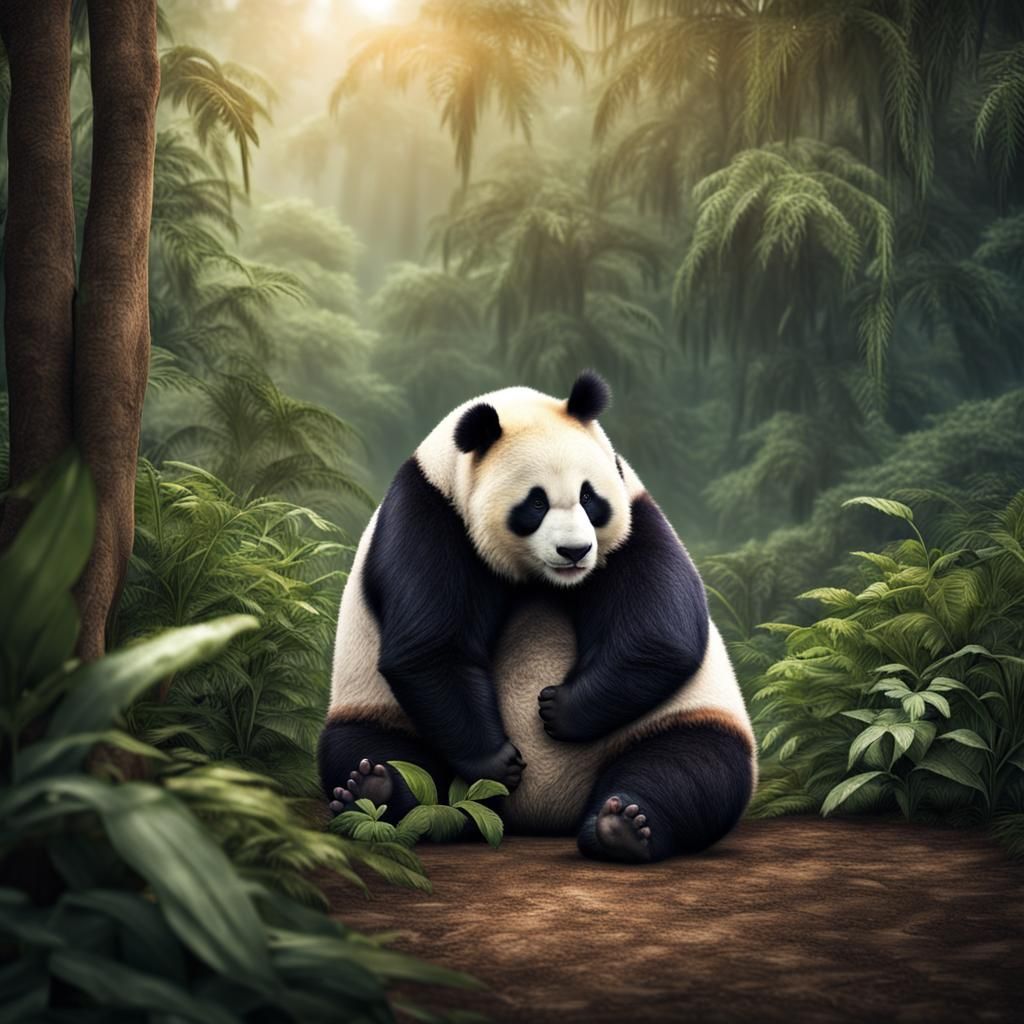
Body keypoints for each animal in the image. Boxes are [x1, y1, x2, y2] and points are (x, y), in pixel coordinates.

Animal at [318, 371, 756, 863]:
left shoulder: (633, 513)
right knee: (372, 749)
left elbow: (661, 629)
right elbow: (432, 645)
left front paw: (558, 710)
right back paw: (372, 788)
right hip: (375, 708)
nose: (575, 551)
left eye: (589, 497)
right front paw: (496, 761)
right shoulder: (431, 512)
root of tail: (548, 814)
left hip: (680, 717)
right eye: (536, 503)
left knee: (693, 769)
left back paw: (623, 825)